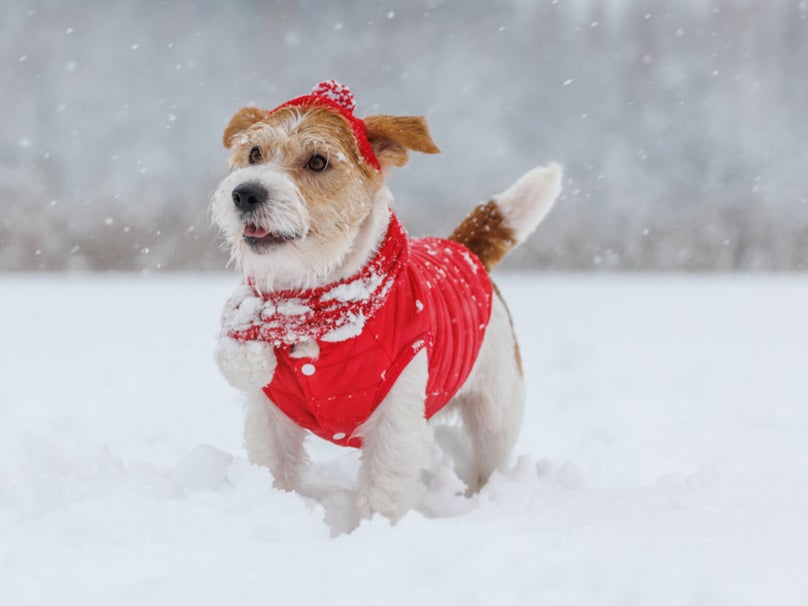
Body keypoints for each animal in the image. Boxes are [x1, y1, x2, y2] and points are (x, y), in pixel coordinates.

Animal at [211, 81, 560, 524]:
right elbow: (273, 469)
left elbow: (382, 489)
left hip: (496, 409)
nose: (245, 192)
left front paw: (373, 530)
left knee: (489, 459)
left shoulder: (396, 419)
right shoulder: (270, 414)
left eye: (318, 161)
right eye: (254, 153)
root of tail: (464, 249)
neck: (310, 301)